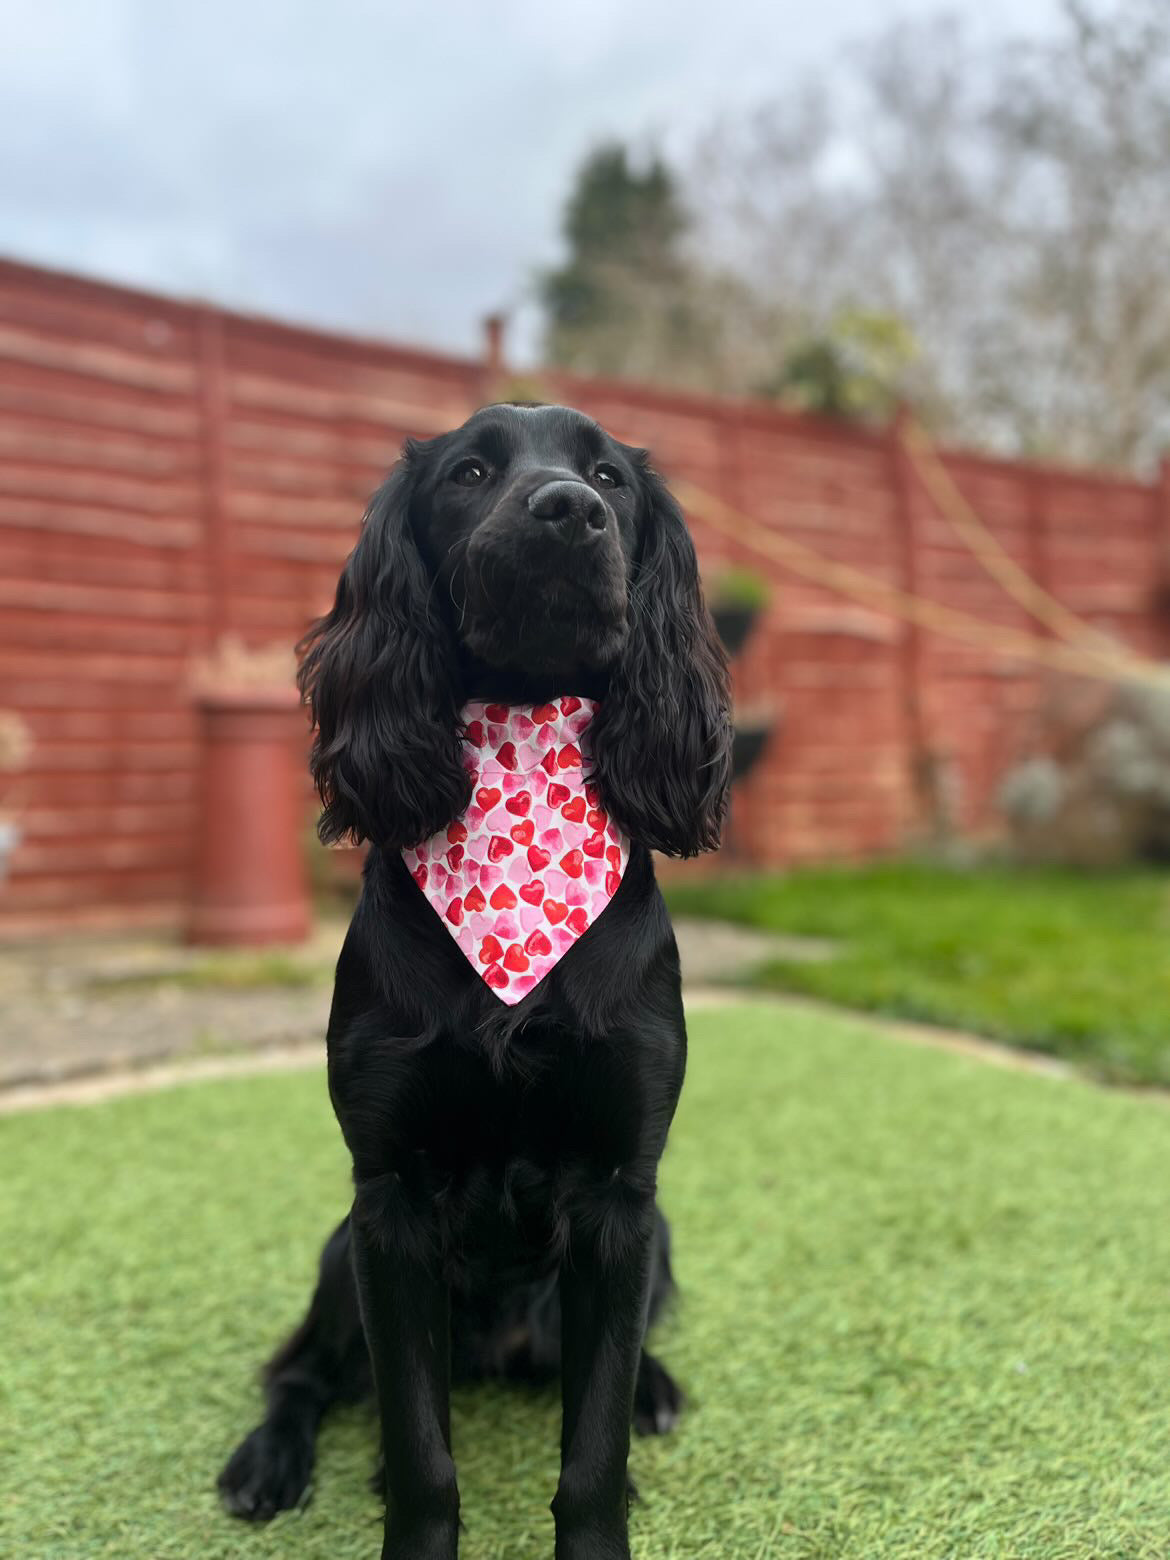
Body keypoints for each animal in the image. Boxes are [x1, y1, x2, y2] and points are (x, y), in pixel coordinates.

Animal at [219, 405, 733, 1560]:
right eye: (468, 472)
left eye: (608, 477)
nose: (569, 511)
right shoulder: (390, 1202)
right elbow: (422, 1453)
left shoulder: (620, 1199)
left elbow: (592, 1453)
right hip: (339, 1255)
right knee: (301, 1375)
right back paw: (266, 1461)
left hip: (661, 1239)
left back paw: (656, 1387)